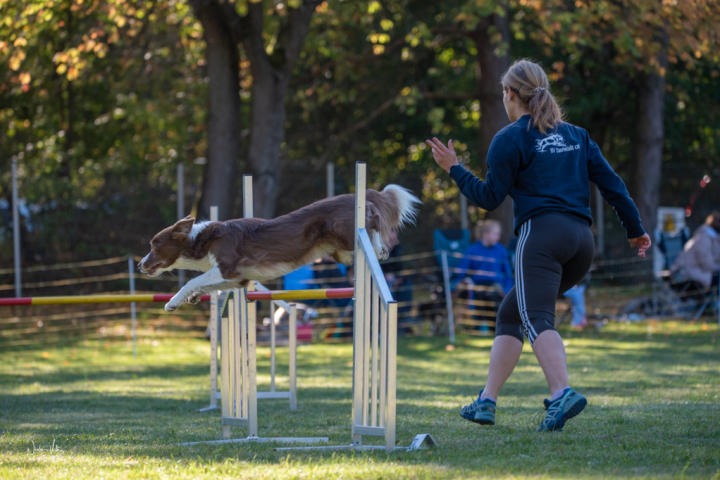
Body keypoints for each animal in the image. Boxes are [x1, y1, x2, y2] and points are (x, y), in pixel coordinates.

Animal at [139, 184, 422, 312]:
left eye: (154, 245)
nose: (140, 264)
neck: (201, 240)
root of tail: (361, 194)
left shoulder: (227, 268)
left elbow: (192, 280)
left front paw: (172, 302)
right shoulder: (239, 279)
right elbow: (205, 284)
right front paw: (191, 298)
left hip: (344, 233)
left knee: (373, 223)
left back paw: (380, 246)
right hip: (340, 252)